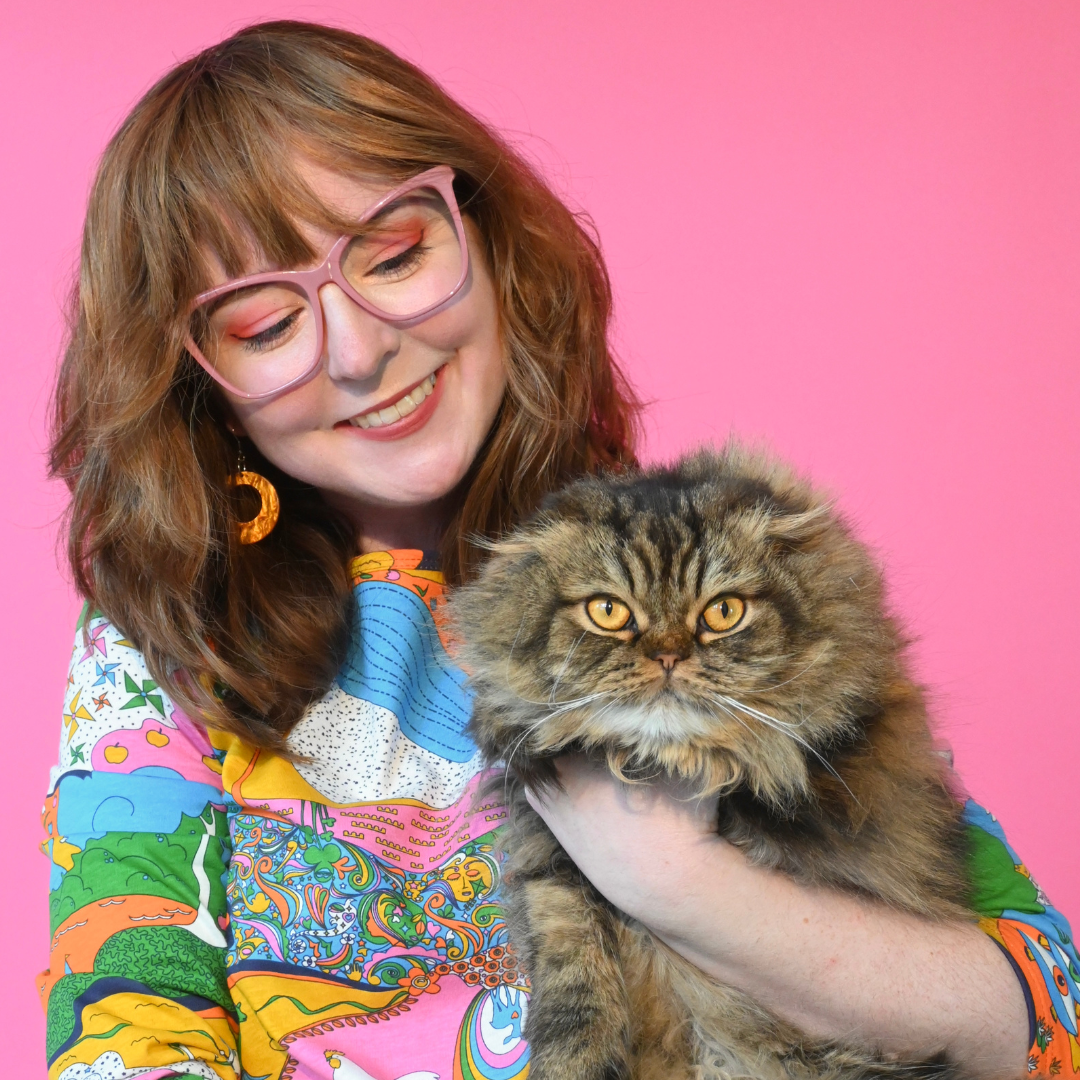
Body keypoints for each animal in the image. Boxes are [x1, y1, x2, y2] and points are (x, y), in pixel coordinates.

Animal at [451, 444, 976, 1080]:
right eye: (608, 611)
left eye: (723, 612)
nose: (668, 655)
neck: (662, 763)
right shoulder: (550, 858)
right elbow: (575, 972)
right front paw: (574, 1057)